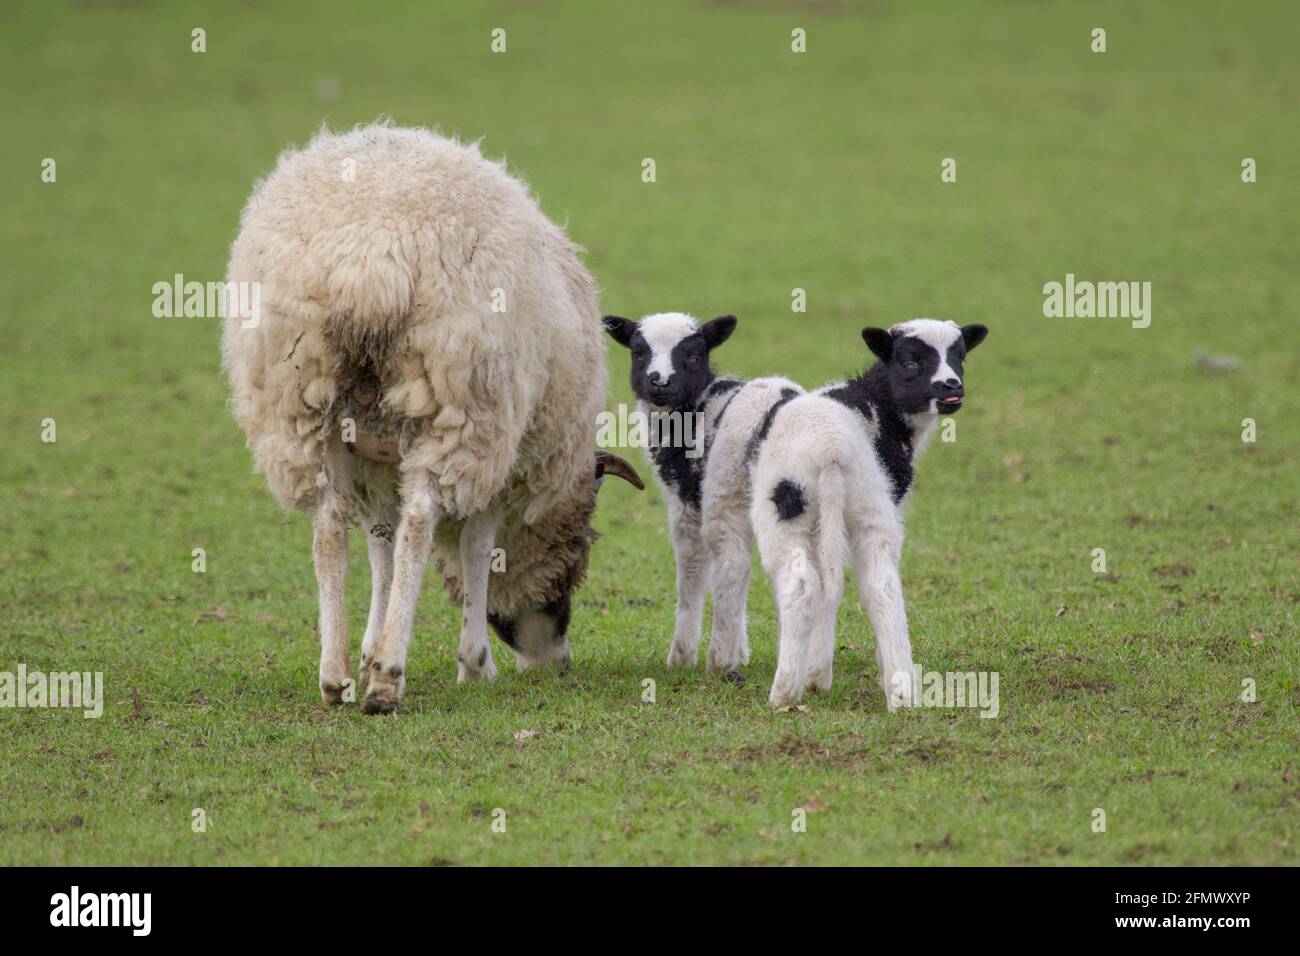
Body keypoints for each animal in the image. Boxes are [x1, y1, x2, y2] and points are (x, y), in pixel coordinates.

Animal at [228, 123, 650, 712]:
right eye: (577, 553)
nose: (556, 663)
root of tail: (369, 264)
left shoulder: (378, 465)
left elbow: (381, 547)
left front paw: (369, 647)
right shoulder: (500, 465)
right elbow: (476, 551)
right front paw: (473, 664)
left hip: (302, 407)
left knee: (330, 527)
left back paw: (336, 675)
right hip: (462, 404)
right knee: (420, 521)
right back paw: (387, 679)